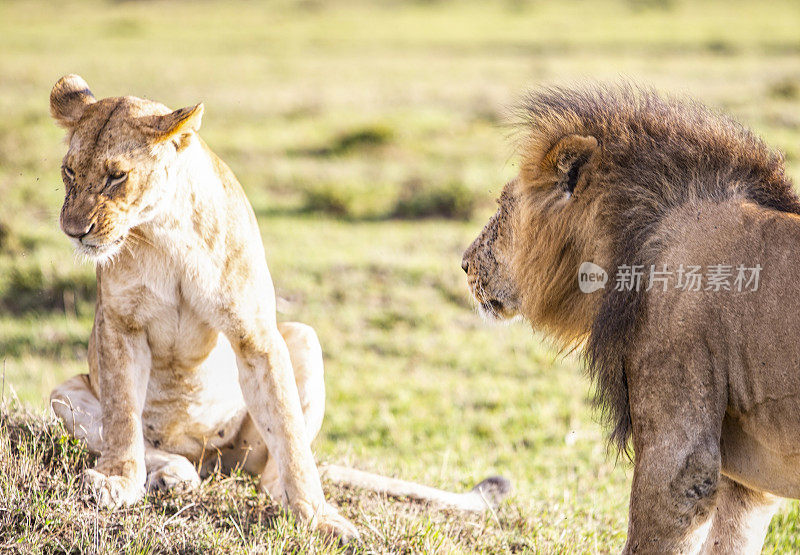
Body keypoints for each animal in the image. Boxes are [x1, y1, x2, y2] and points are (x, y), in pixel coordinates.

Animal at [48, 75, 506, 544]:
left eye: (116, 176)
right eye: (70, 171)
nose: (73, 230)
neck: (163, 233)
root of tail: (210, 461)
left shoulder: (256, 338)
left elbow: (288, 431)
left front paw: (317, 516)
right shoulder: (120, 326)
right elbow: (122, 418)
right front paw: (117, 482)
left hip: (301, 341)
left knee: (271, 468)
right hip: (63, 393)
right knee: (149, 445)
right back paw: (174, 475)